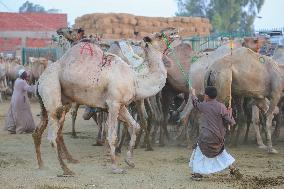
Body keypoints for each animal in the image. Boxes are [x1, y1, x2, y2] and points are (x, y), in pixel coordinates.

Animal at [32, 29, 176, 176]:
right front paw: (115, 167)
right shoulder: (113, 104)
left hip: (54, 102)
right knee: (52, 135)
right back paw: (66, 169)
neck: (136, 80)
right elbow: (112, 135)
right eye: (159, 35)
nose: (175, 32)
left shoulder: (121, 105)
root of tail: (40, 79)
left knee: (39, 131)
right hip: (51, 88)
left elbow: (135, 126)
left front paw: (130, 161)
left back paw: (42, 164)